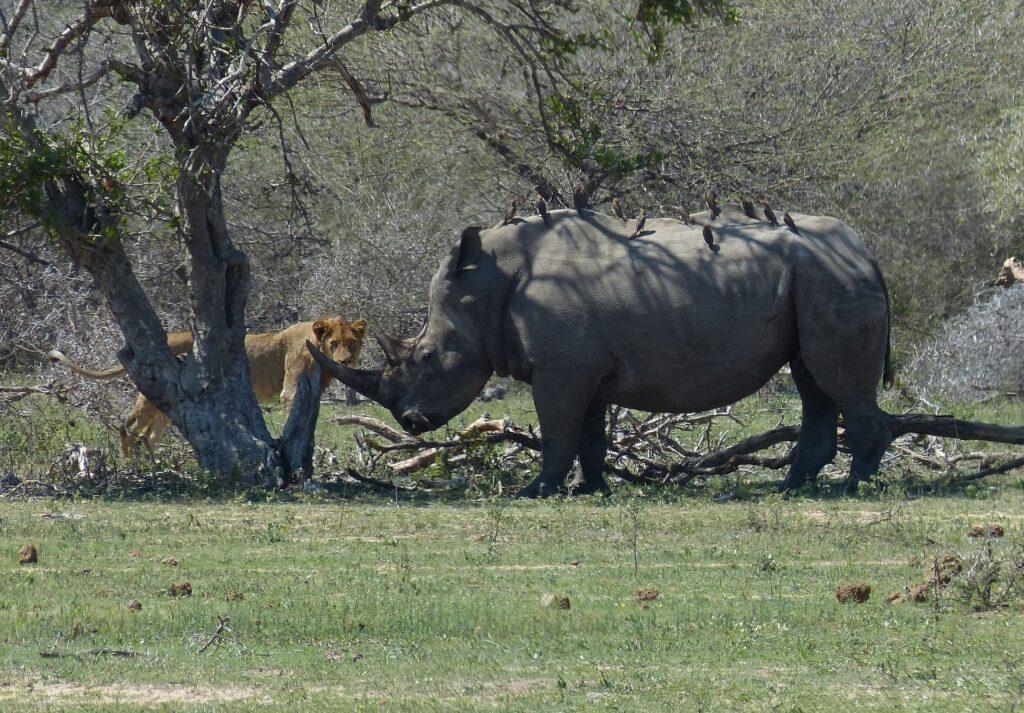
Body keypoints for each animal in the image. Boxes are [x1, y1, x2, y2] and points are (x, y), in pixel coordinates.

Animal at [49, 317, 368, 456]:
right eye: (334, 343)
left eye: (352, 342)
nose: (346, 360)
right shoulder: (291, 388)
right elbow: (297, 421)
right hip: (152, 396)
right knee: (127, 426)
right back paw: (131, 465)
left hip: (168, 406)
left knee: (149, 434)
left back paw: (155, 464)